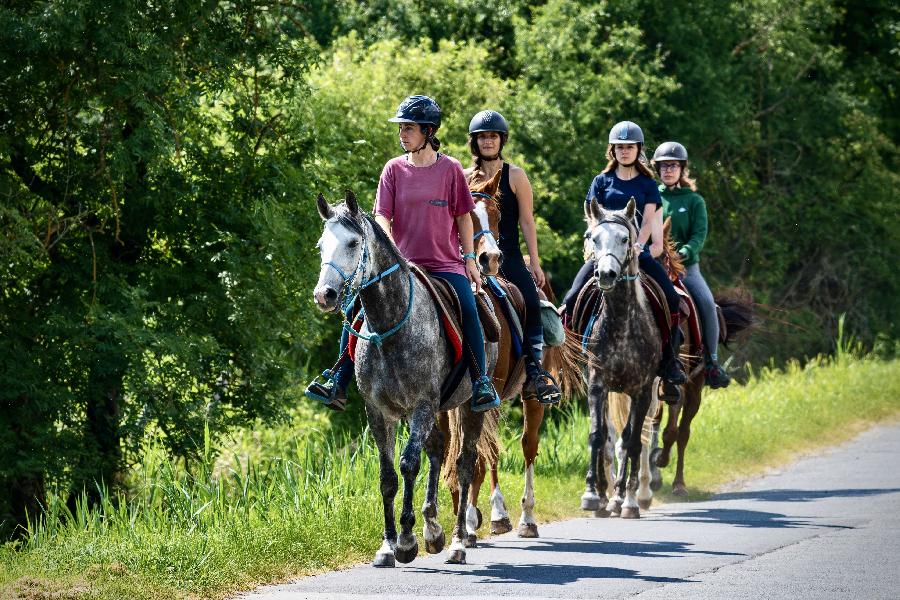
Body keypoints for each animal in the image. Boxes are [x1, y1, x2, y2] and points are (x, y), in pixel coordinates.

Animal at [314, 191, 500, 568]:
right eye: (321, 245)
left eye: (353, 243)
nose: (324, 295)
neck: (390, 326)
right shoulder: (378, 411)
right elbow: (387, 476)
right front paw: (387, 545)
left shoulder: (422, 406)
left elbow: (408, 464)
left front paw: (406, 540)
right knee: (438, 449)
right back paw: (434, 529)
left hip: (469, 407)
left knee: (464, 464)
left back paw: (457, 542)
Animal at [442, 169, 584, 544]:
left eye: (495, 215)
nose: (490, 258)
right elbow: (460, 454)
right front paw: (465, 520)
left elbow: (474, 456)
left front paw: (469, 523)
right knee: (491, 453)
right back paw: (495, 514)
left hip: (531, 396)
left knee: (527, 446)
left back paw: (524, 518)